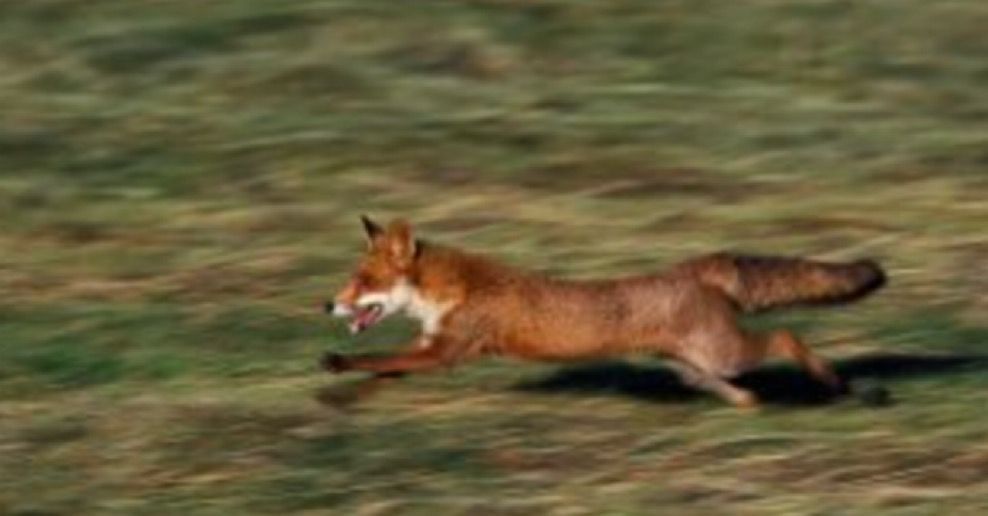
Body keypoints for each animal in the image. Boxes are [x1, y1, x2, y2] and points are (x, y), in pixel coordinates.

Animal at [322, 216, 886, 408]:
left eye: (364, 282)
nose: (326, 304)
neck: (452, 291)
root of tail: (694, 267)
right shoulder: (428, 348)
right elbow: (382, 371)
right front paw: (342, 398)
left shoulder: (445, 353)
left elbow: (374, 361)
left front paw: (337, 365)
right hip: (692, 367)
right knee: (729, 385)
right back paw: (749, 403)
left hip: (727, 353)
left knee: (786, 336)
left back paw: (835, 382)